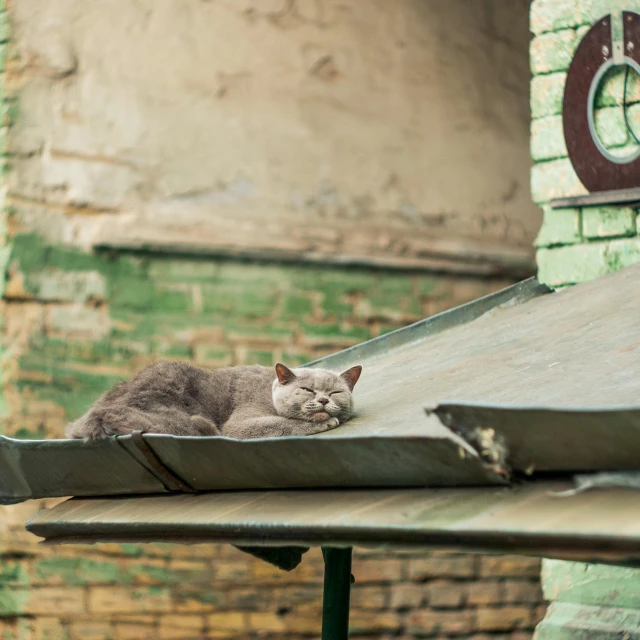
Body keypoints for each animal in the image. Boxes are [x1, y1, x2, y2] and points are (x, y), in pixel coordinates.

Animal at [69, 360, 364, 440]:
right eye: (307, 390)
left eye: (335, 393)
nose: (324, 401)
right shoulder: (240, 423)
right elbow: (282, 423)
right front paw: (324, 422)